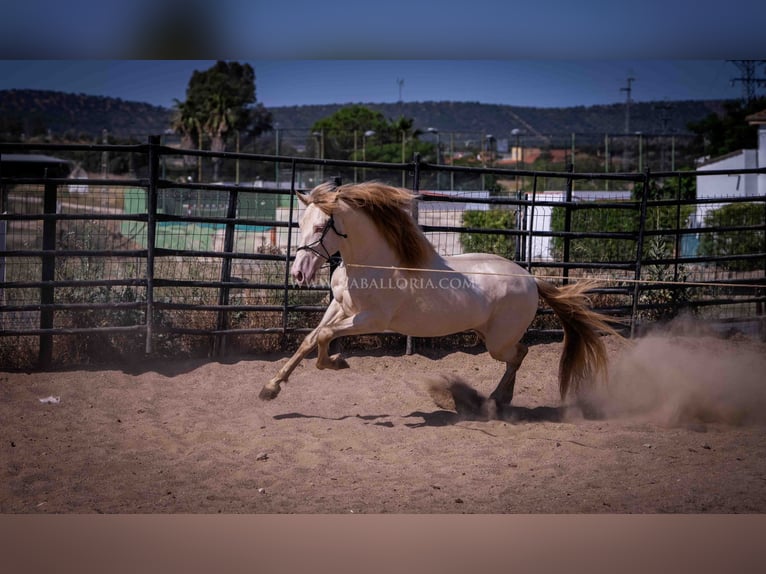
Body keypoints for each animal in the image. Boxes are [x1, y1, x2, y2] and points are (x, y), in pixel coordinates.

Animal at [260, 182, 624, 412]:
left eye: (322, 227)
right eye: (300, 223)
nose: (299, 274)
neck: (372, 264)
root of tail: (531, 279)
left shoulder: (370, 319)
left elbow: (324, 337)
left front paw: (337, 362)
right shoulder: (340, 306)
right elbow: (310, 338)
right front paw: (271, 387)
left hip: (498, 341)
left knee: (520, 353)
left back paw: (494, 402)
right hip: (488, 335)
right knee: (518, 355)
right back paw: (496, 400)